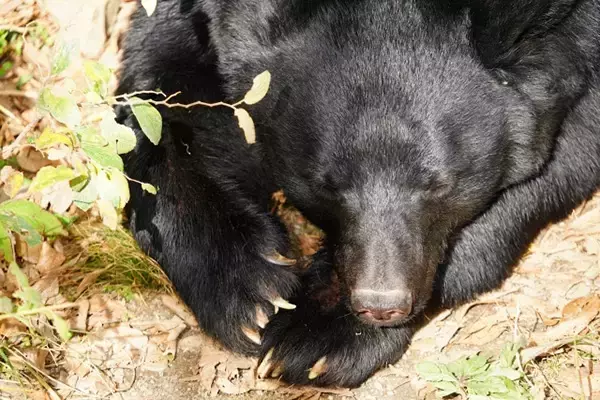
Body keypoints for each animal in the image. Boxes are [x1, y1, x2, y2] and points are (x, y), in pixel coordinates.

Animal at [116, 0, 600, 388]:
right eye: (327, 184)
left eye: (439, 184)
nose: (380, 306)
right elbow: (158, 89)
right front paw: (251, 295)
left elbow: (568, 153)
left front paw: (312, 335)